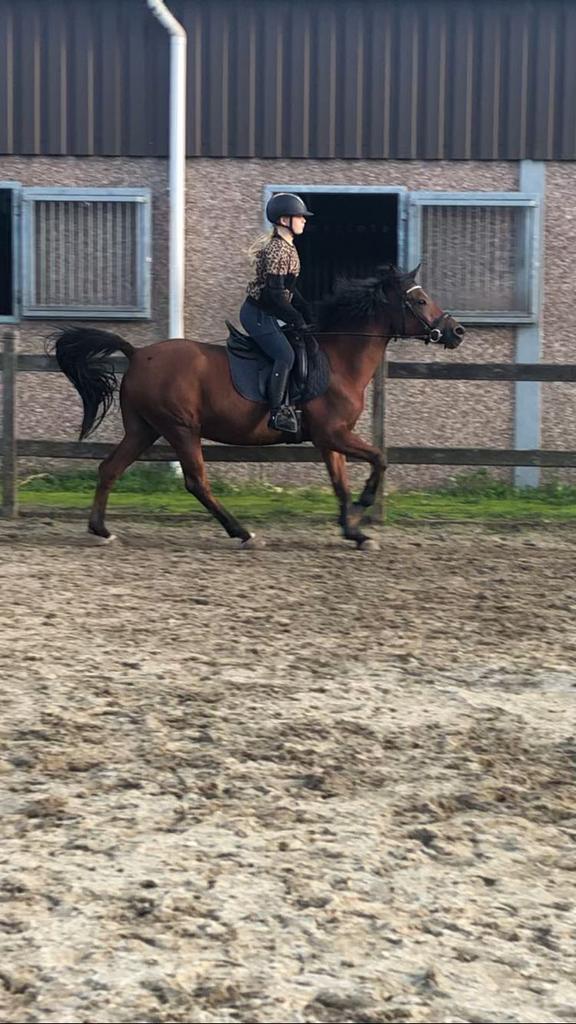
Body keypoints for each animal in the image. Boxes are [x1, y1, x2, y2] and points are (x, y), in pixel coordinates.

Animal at [49, 266, 465, 550]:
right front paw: (364, 507)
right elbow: (380, 458)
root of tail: (137, 354)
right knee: (196, 482)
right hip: (181, 429)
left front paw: (354, 531)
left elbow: (339, 483)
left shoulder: (328, 439)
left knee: (110, 468)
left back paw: (101, 529)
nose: (457, 332)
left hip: (144, 429)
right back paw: (243, 532)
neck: (338, 360)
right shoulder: (334, 433)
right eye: (420, 300)